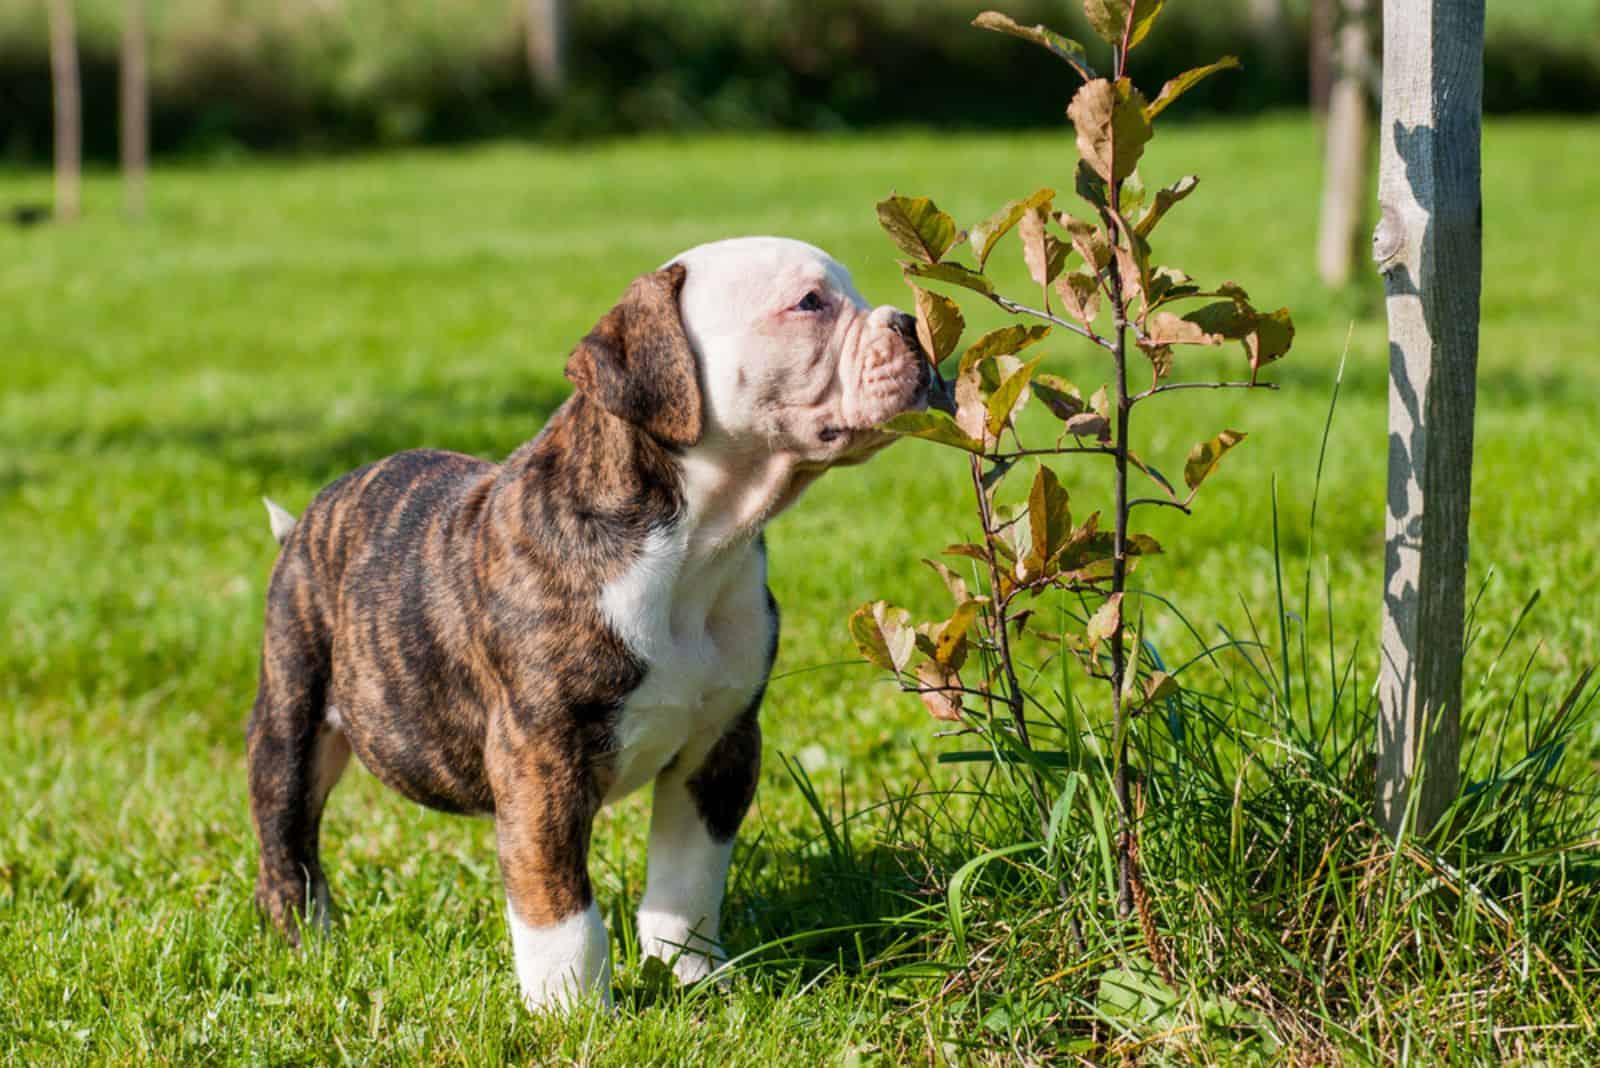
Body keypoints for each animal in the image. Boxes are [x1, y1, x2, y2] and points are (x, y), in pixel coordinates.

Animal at [243, 235, 934, 1010]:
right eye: (809, 303)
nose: (911, 324)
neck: (695, 546)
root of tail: (305, 524)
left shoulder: (719, 748)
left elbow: (688, 881)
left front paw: (692, 978)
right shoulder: (540, 760)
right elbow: (562, 908)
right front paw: (573, 1013)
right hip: (290, 721)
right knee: (288, 845)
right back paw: (312, 950)